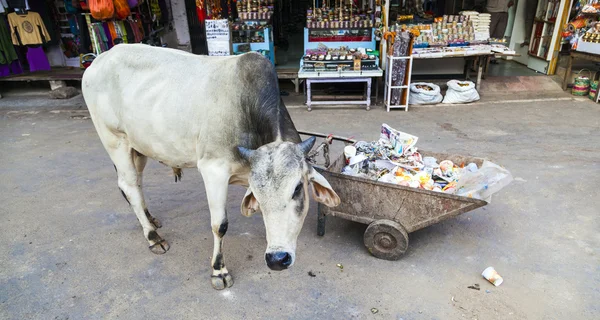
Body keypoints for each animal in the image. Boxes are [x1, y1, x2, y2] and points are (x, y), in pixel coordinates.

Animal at [81, 44, 340, 290]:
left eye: (297, 188)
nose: (277, 259)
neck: (246, 108)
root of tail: (98, 60)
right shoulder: (213, 170)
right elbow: (220, 225)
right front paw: (219, 271)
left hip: (139, 147)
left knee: (134, 184)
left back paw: (150, 219)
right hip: (115, 141)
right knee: (129, 186)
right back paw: (153, 237)